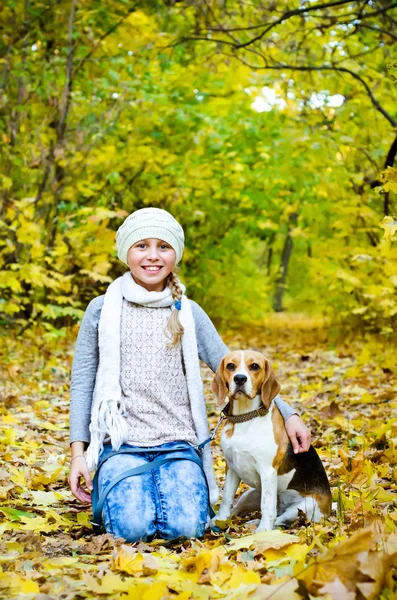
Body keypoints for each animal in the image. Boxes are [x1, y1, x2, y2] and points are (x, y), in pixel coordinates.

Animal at [210, 352, 332, 528]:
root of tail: (330, 506)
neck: (245, 418)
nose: (239, 378)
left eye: (255, 366)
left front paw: (263, 531)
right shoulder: (231, 467)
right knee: (238, 509)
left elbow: (267, 505)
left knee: (279, 519)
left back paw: (261, 526)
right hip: (251, 494)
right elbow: (226, 497)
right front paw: (220, 519)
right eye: (230, 366)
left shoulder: (267, 471)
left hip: (304, 507)